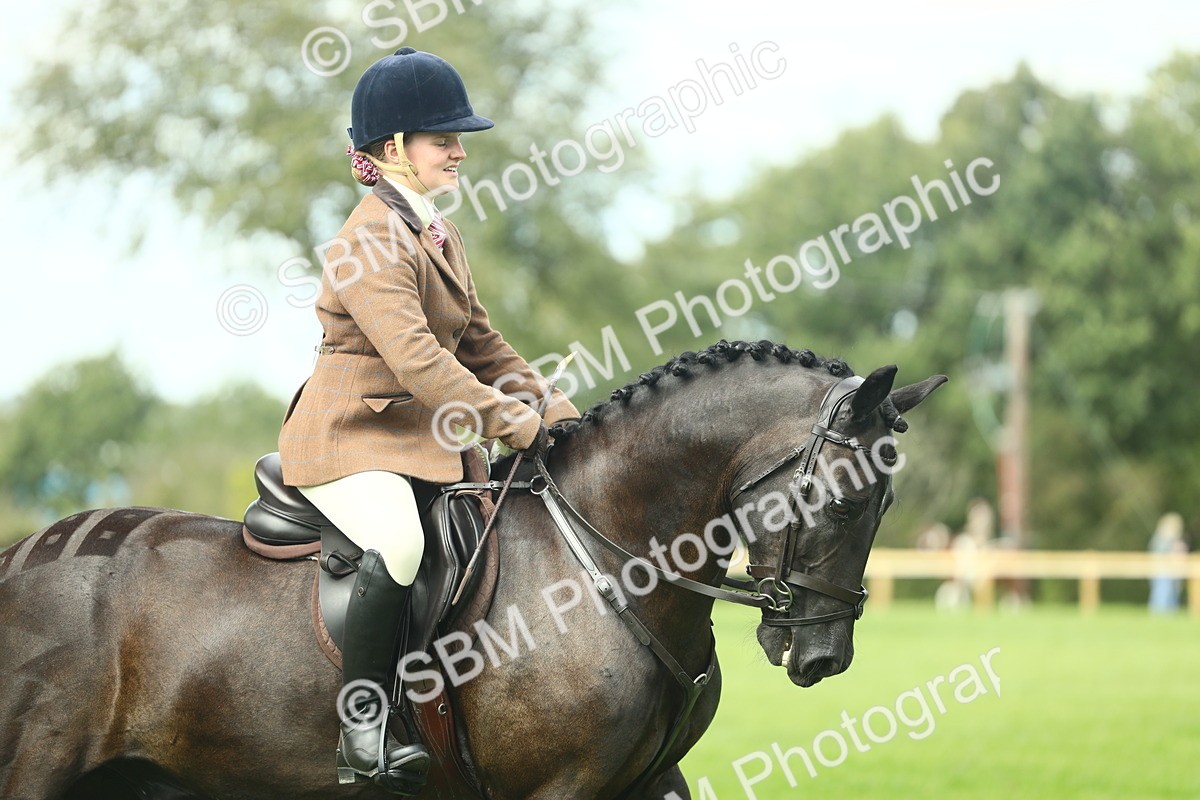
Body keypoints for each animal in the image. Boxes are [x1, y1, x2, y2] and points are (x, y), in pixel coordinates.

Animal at [0, 339, 945, 799]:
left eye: (886, 506)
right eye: (847, 502)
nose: (822, 656)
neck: (604, 563)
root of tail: (22, 556)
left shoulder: (645, 780)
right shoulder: (559, 787)